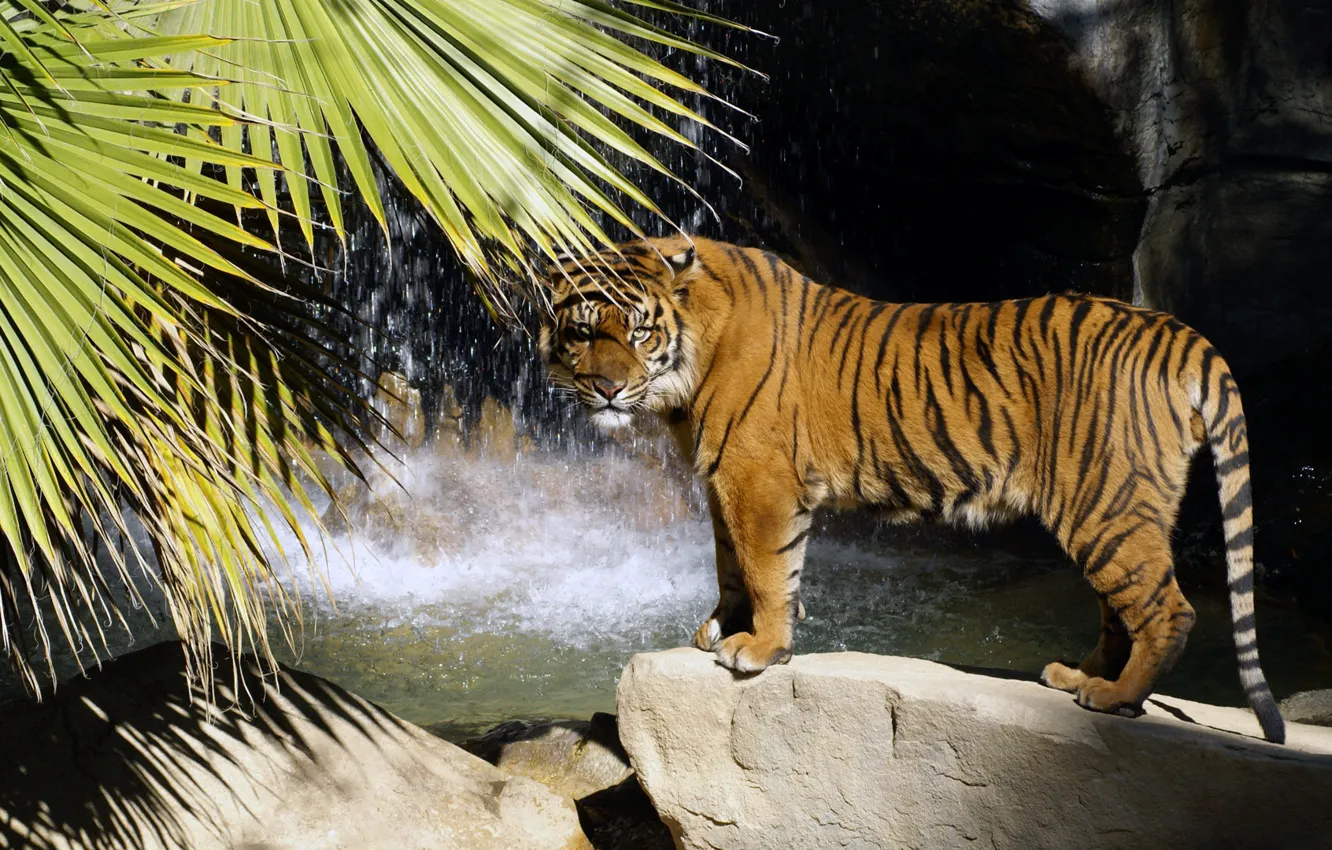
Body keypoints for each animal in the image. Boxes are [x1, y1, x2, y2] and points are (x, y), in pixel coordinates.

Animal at [537, 234, 1286, 744]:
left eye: (640, 331)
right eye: (583, 331)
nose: (607, 389)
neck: (687, 370)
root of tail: (1175, 330)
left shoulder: (758, 479)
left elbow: (768, 567)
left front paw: (760, 648)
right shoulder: (722, 480)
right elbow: (730, 565)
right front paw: (722, 625)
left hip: (1105, 504)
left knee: (1167, 610)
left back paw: (1116, 697)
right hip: (1113, 508)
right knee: (1119, 610)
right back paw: (1079, 678)